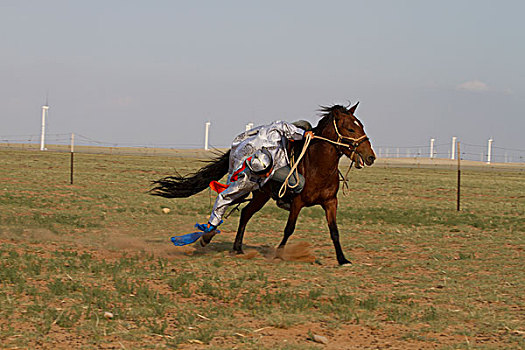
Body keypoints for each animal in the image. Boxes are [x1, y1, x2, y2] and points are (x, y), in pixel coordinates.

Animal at [149, 103, 374, 266]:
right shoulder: (297, 201)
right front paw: (279, 253)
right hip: (250, 189)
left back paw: (237, 247)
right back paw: (210, 236)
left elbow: (334, 231)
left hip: (261, 195)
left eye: (361, 125)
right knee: (231, 206)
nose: (370, 157)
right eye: (350, 128)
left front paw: (342, 259)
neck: (317, 166)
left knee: (245, 213)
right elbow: (289, 229)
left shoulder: (330, 202)